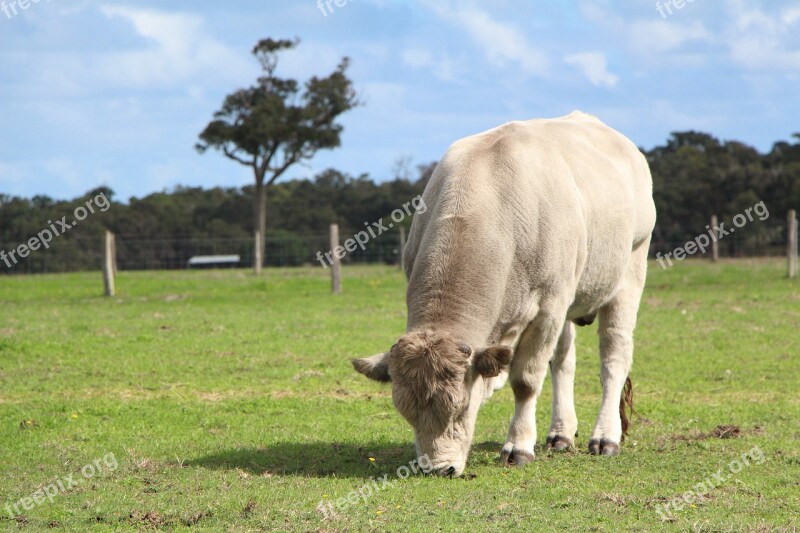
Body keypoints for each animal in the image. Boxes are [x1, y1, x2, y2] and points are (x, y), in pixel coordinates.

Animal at [354, 111, 656, 474]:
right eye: (406, 412)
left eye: (461, 408)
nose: (437, 469)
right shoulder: (552, 307)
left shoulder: (548, 308)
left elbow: (526, 380)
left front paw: (519, 445)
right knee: (564, 361)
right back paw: (561, 433)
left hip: (629, 272)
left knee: (614, 358)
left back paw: (605, 436)